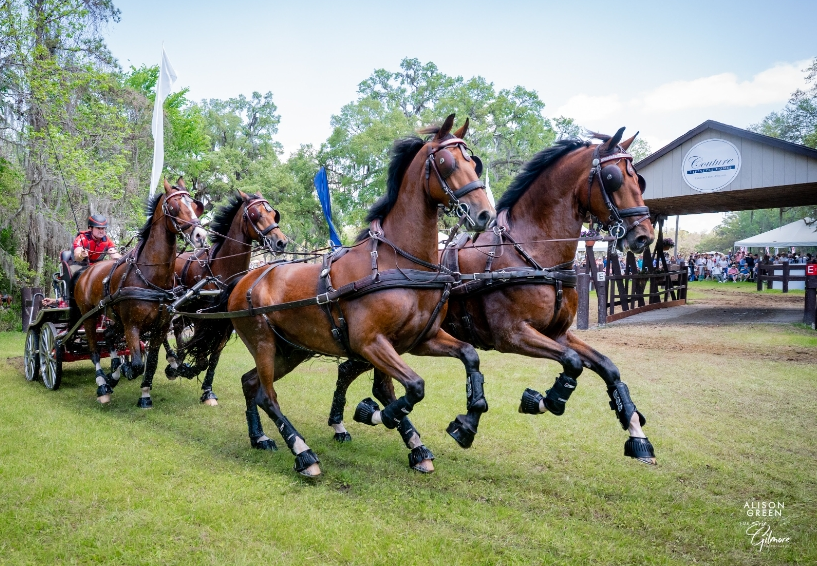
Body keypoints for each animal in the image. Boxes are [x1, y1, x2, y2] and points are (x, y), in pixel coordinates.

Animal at [74, 179, 207, 407]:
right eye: (174, 207)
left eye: (194, 205)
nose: (200, 235)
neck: (150, 275)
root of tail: (87, 271)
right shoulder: (132, 326)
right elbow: (136, 364)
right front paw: (119, 374)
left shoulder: (161, 327)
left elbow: (151, 362)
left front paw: (144, 394)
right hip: (89, 316)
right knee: (93, 350)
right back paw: (102, 385)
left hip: (115, 319)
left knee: (108, 336)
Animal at [163, 190, 288, 406]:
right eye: (255, 214)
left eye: (274, 214)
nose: (281, 242)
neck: (222, 269)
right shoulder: (203, 319)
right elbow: (202, 358)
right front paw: (186, 369)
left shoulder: (225, 322)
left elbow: (214, 357)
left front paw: (207, 391)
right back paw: (173, 363)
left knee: (177, 326)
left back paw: (177, 359)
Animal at [227, 114, 496, 477]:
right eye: (447, 162)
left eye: (473, 162)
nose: (484, 214)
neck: (397, 262)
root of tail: (246, 278)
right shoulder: (371, 343)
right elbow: (411, 387)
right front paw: (374, 415)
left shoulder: (419, 339)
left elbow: (468, 356)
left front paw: (464, 423)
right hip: (264, 344)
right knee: (267, 395)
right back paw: (303, 453)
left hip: (291, 350)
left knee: (250, 383)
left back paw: (259, 437)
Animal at [329, 128, 659, 465]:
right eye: (613, 177)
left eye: (639, 180)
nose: (644, 235)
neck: (531, 252)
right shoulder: (512, 335)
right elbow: (572, 362)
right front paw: (541, 401)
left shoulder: (558, 333)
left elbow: (607, 367)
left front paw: (636, 433)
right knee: (376, 383)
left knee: (351, 371)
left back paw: (348, 426)